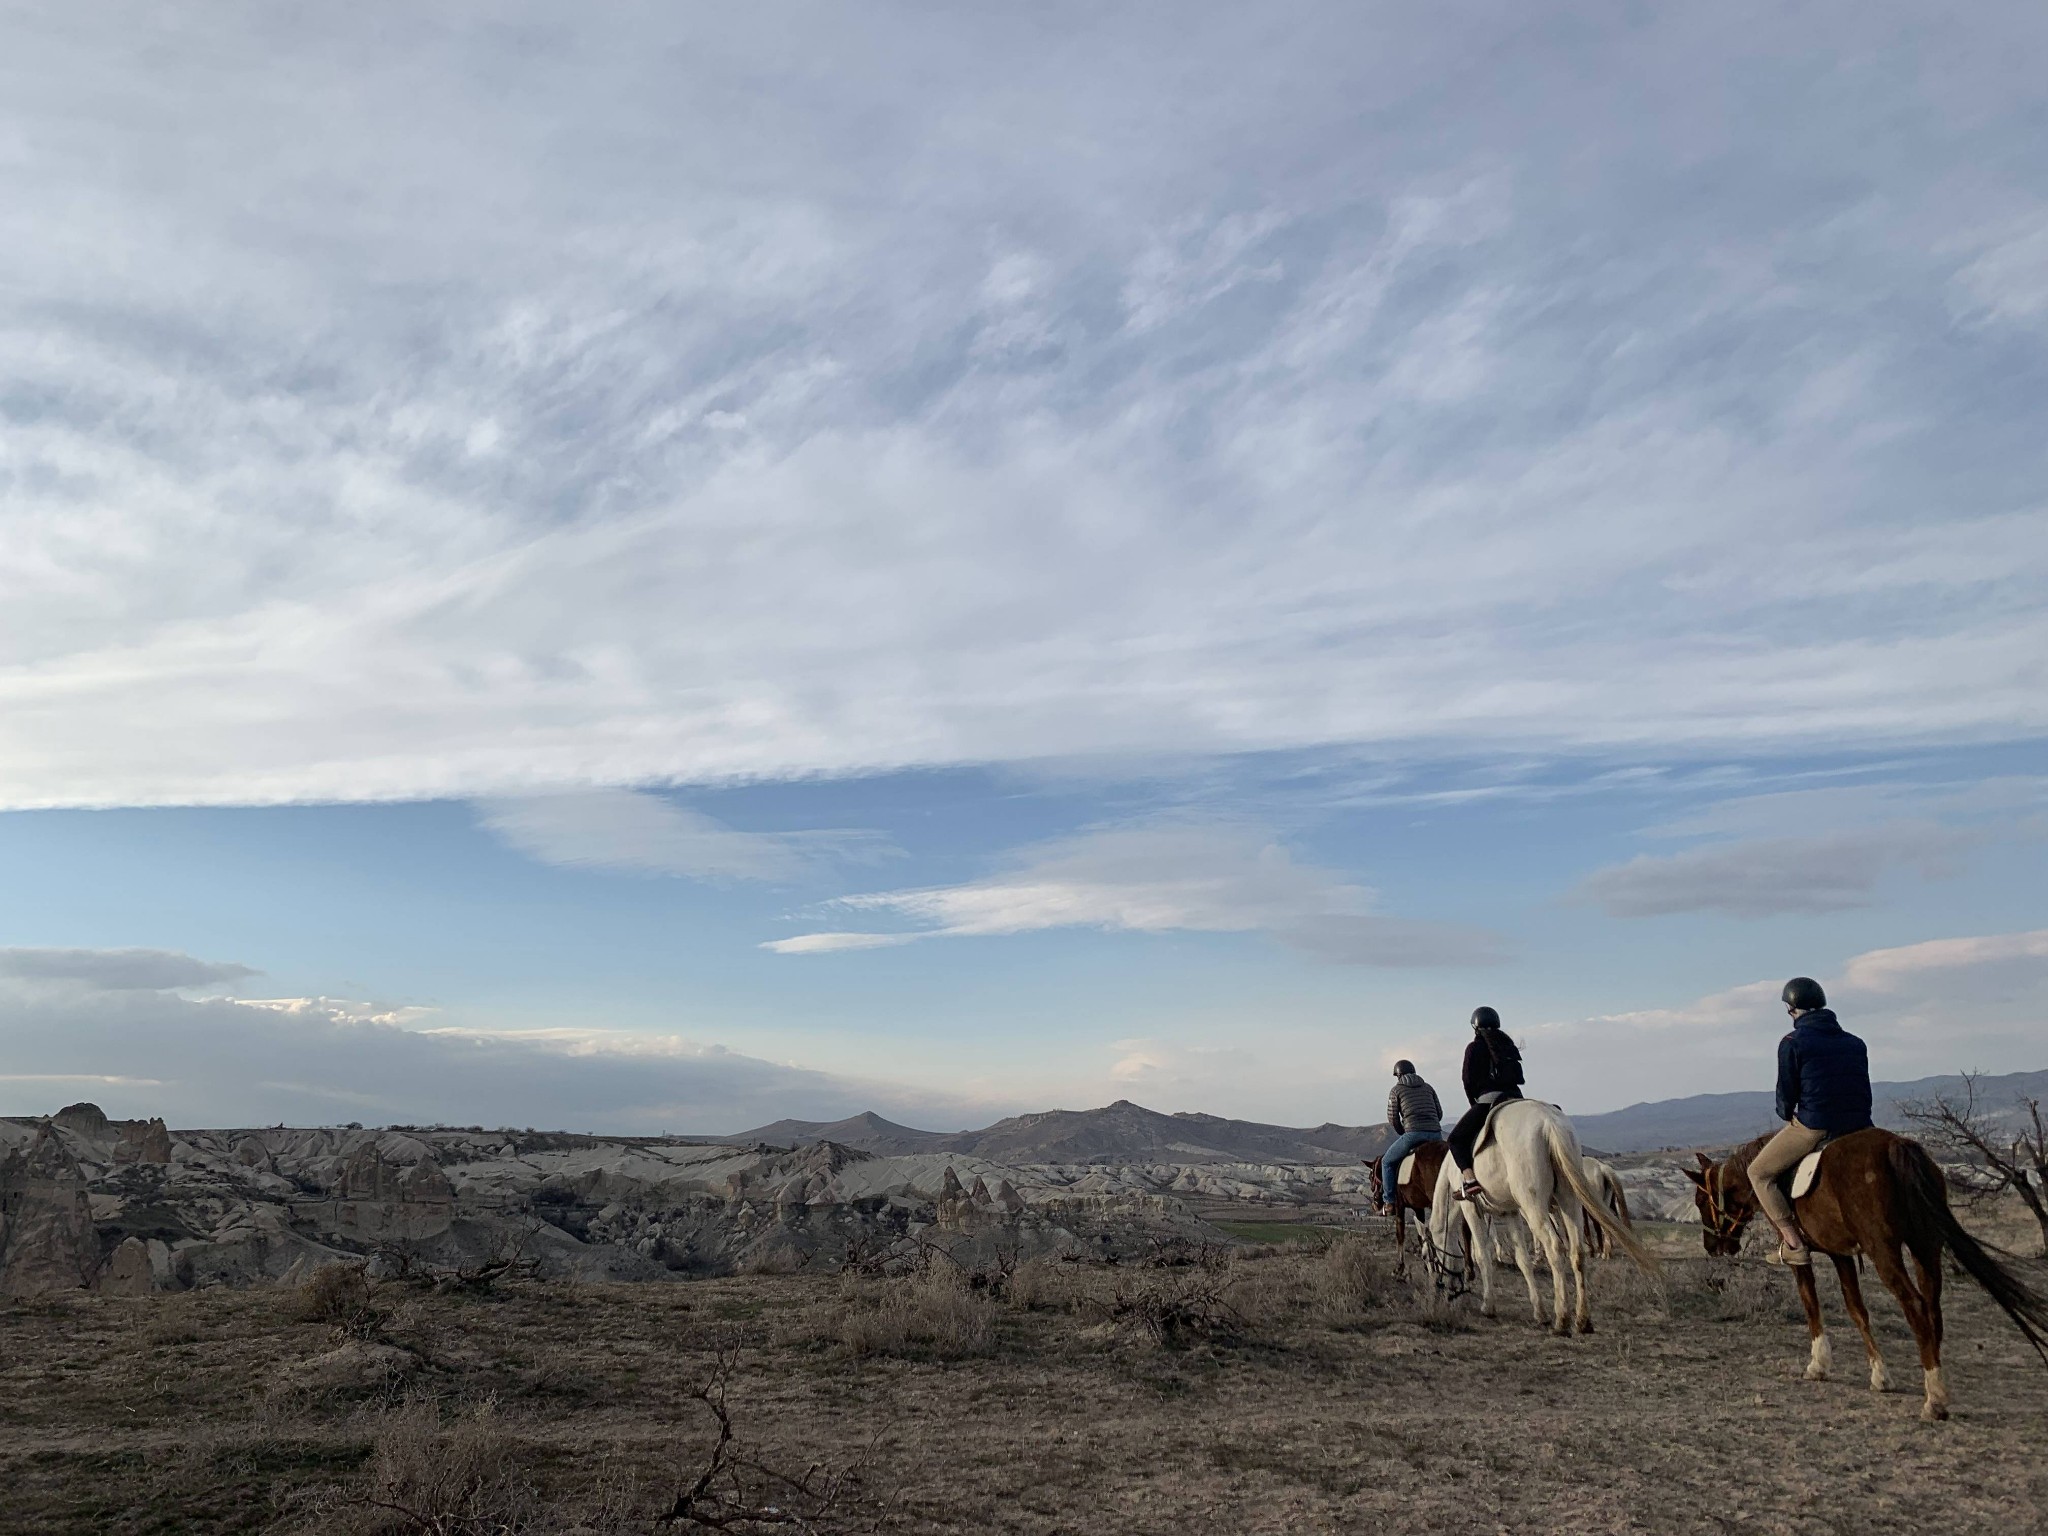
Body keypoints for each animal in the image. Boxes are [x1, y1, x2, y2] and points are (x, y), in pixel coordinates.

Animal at [1433, 1105, 1654, 1335]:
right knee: (1577, 1251)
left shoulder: (1471, 1209)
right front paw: (1539, 1312)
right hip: (1570, 1200)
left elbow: (1482, 1255)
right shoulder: (1511, 1212)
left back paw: (1562, 1320)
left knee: (1556, 1246)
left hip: (1534, 1204)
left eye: (1435, 1253)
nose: (1442, 1286)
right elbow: (1522, 1259)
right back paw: (1583, 1320)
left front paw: (1488, 1306)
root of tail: (1550, 1124)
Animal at [1679, 1122, 2048, 1425]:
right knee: (1932, 1305)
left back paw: (1934, 1401)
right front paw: (1880, 1376)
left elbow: (1812, 1304)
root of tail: (1897, 1146)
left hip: (1884, 1250)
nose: (1712, 1247)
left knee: (1914, 1305)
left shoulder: (1807, 1256)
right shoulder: (1842, 1254)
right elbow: (1857, 1310)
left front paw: (1818, 1365)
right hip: (1925, 1245)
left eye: (1699, 1201)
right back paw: (1935, 1381)